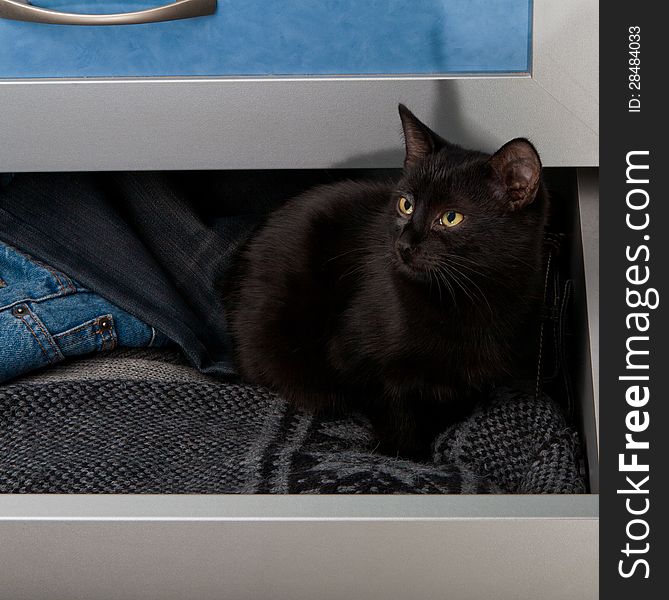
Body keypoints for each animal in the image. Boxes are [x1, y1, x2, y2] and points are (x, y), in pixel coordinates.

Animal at [224, 104, 548, 460]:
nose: (403, 245)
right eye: (406, 204)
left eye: (451, 218)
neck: (462, 297)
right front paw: (408, 455)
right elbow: (394, 409)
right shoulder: (357, 359)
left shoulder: (470, 380)